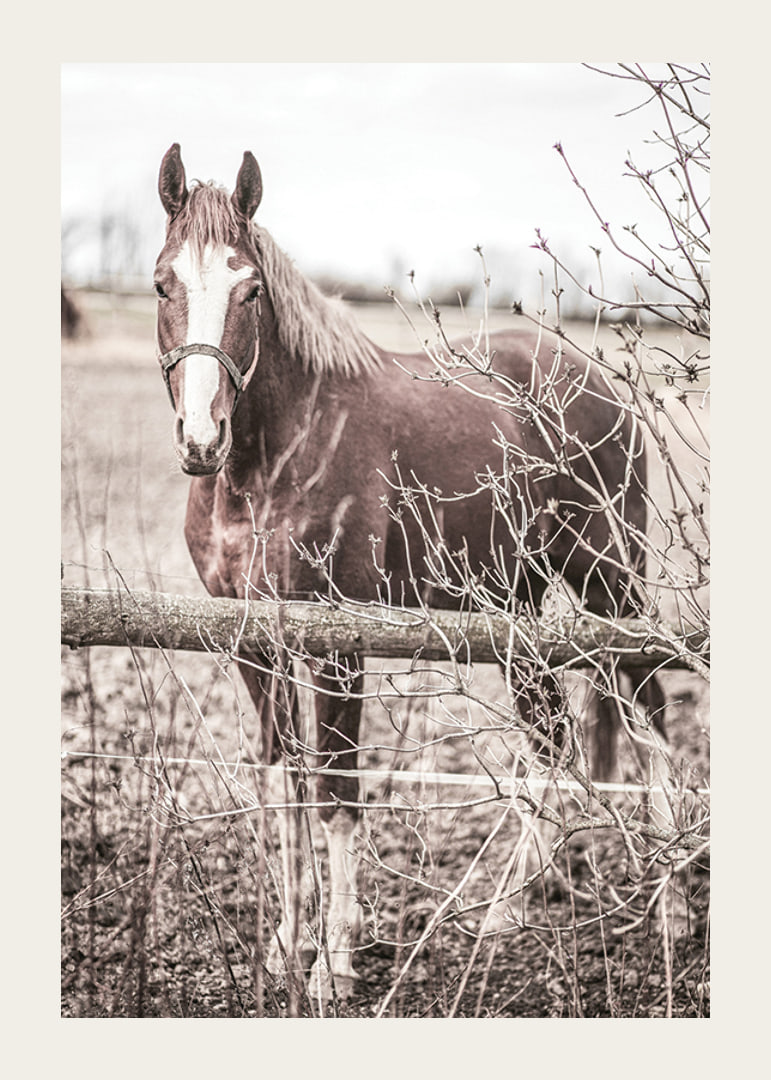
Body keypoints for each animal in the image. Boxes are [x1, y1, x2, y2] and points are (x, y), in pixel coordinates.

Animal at [153, 144, 667, 1005]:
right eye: (162, 282)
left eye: (249, 288)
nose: (201, 438)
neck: (273, 458)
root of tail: (595, 382)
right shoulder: (251, 643)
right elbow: (284, 784)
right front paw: (285, 944)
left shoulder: (338, 645)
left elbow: (335, 794)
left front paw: (333, 960)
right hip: (515, 612)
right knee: (553, 739)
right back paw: (504, 914)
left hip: (609, 584)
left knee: (649, 714)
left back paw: (669, 909)